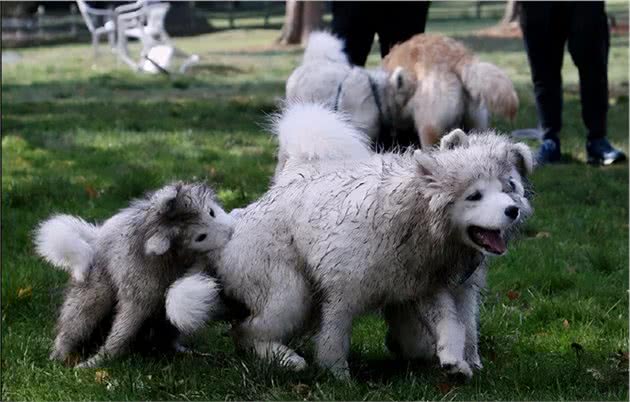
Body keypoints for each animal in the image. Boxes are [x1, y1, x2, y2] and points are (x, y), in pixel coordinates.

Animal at [34, 182, 235, 368]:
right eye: (201, 237)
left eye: (211, 212)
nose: (232, 232)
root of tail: (94, 239)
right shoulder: (139, 292)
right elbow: (122, 332)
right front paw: (98, 360)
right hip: (93, 295)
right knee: (76, 321)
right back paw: (60, 354)